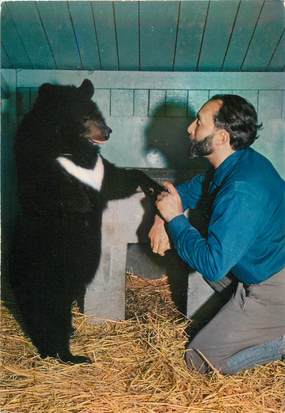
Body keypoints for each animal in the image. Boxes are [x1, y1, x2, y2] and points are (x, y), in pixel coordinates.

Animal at [10, 79, 162, 362]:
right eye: (85, 118)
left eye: (99, 114)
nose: (108, 131)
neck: (74, 150)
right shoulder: (41, 164)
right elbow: (53, 191)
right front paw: (83, 203)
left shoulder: (99, 170)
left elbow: (117, 180)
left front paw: (154, 187)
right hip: (47, 279)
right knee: (48, 318)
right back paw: (68, 355)